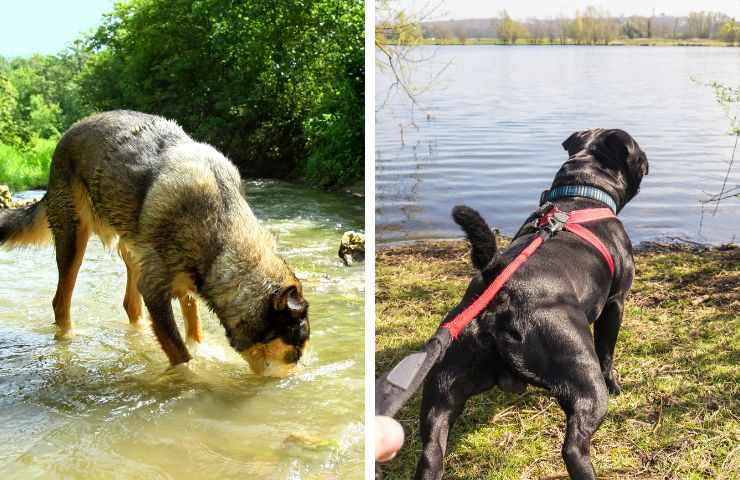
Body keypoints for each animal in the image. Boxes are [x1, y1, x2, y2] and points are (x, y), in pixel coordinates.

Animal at [0, 109, 310, 376]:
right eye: (294, 353)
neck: (220, 229)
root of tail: (68, 134)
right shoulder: (156, 292)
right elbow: (181, 353)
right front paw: (193, 379)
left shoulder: (185, 284)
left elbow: (194, 330)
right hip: (73, 238)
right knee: (60, 301)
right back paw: (69, 338)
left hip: (132, 252)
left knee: (130, 304)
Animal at [416, 128, 648, 480]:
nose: (648, 160)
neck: (582, 192)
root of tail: (499, 287)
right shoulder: (615, 303)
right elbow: (607, 351)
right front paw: (617, 384)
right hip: (583, 374)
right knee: (574, 446)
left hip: (441, 390)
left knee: (431, 451)